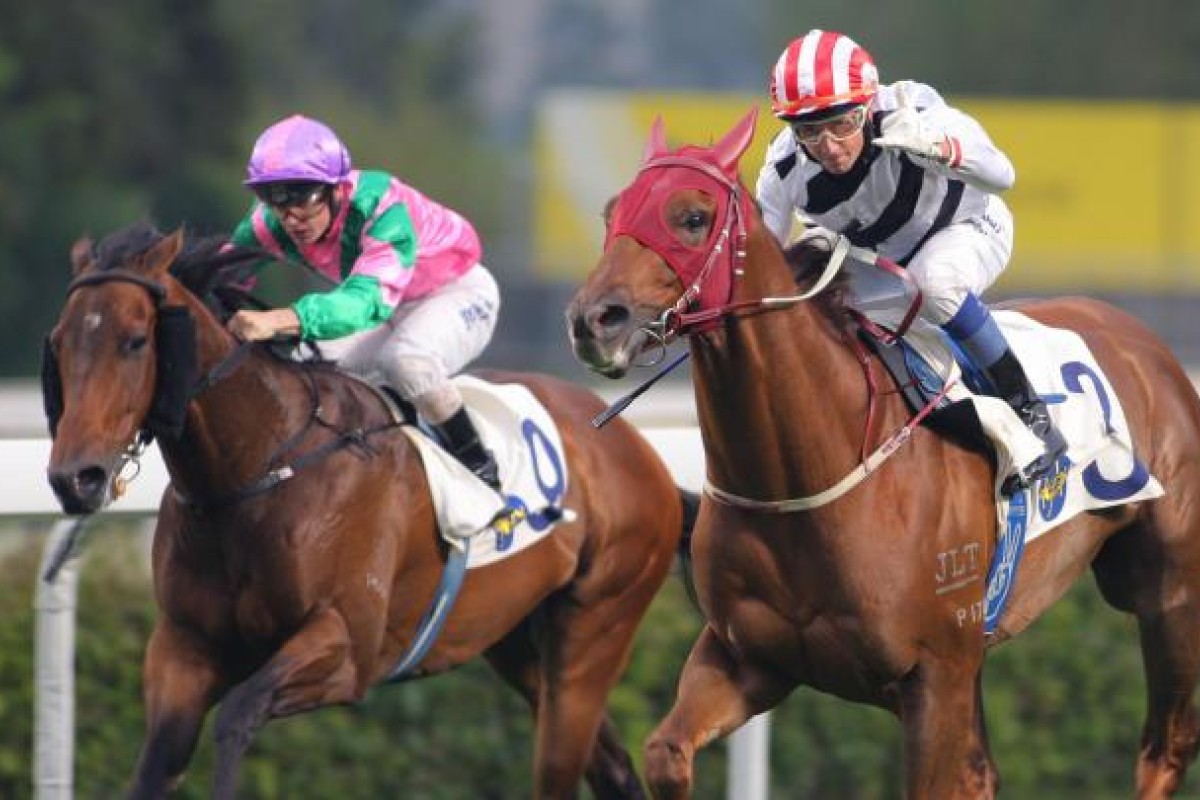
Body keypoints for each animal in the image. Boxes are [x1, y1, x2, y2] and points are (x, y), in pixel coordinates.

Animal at [46, 220, 700, 800]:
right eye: (58, 343)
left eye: (135, 340)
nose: (75, 477)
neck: (254, 472)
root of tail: (638, 450)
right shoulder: (184, 649)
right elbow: (154, 768)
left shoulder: (346, 647)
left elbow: (237, 717)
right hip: (518, 640)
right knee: (612, 770)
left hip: (595, 629)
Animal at [566, 107, 1200, 800]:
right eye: (611, 213)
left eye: (692, 217)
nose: (595, 320)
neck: (804, 475)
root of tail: (1146, 343)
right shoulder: (747, 658)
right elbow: (665, 754)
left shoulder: (934, 673)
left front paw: (921, 137)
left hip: (1166, 593)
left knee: (1164, 749)